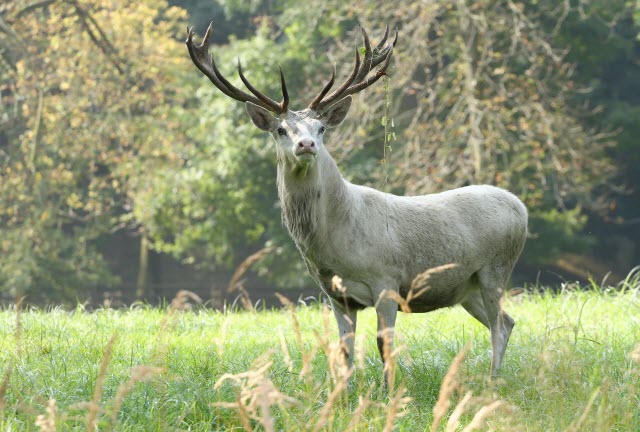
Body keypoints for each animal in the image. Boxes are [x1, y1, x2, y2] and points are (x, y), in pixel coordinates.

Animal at [186, 23, 528, 384]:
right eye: (280, 129)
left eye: (321, 128)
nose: (306, 144)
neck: (337, 245)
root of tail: (520, 207)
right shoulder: (336, 296)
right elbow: (343, 351)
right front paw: (342, 392)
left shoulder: (387, 280)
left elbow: (384, 346)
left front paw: (390, 391)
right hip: (466, 288)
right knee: (507, 321)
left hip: (496, 268)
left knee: (498, 326)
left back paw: (492, 381)